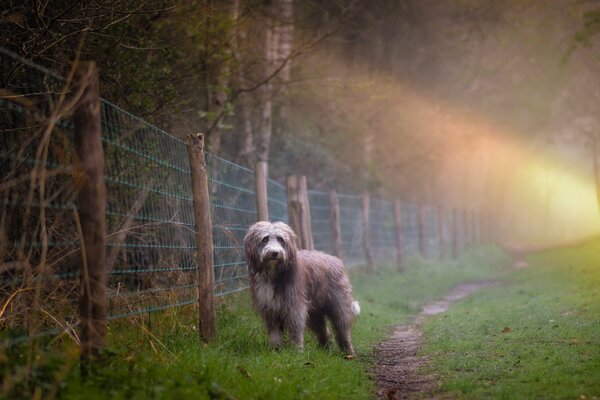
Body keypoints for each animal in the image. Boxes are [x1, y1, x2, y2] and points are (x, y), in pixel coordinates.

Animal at [244, 220, 360, 354]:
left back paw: (348, 351)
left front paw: (296, 350)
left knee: (342, 328)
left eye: (280, 239)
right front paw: (276, 348)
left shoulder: (295, 306)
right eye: (265, 239)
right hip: (315, 312)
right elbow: (274, 331)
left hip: (338, 304)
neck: (274, 273)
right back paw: (325, 349)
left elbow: (295, 328)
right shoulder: (270, 308)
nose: (275, 253)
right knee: (323, 330)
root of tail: (336, 261)